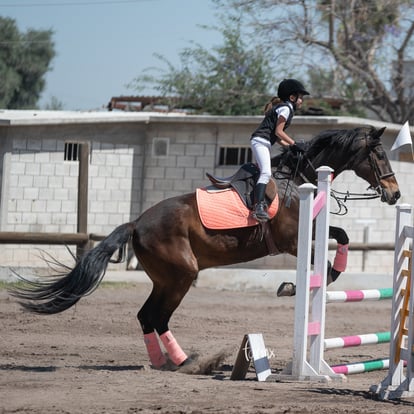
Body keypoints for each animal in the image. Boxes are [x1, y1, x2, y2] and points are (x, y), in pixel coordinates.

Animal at [10, 125, 402, 368]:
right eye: (381, 156)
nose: (395, 194)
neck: (298, 179)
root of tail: (137, 224)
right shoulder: (292, 241)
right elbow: (324, 264)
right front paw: (292, 286)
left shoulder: (312, 232)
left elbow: (344, 236)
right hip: (182, 275)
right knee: (157, 316)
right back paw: (186, 362)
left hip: (166, 278)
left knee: (146, 316)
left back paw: (163, 362)